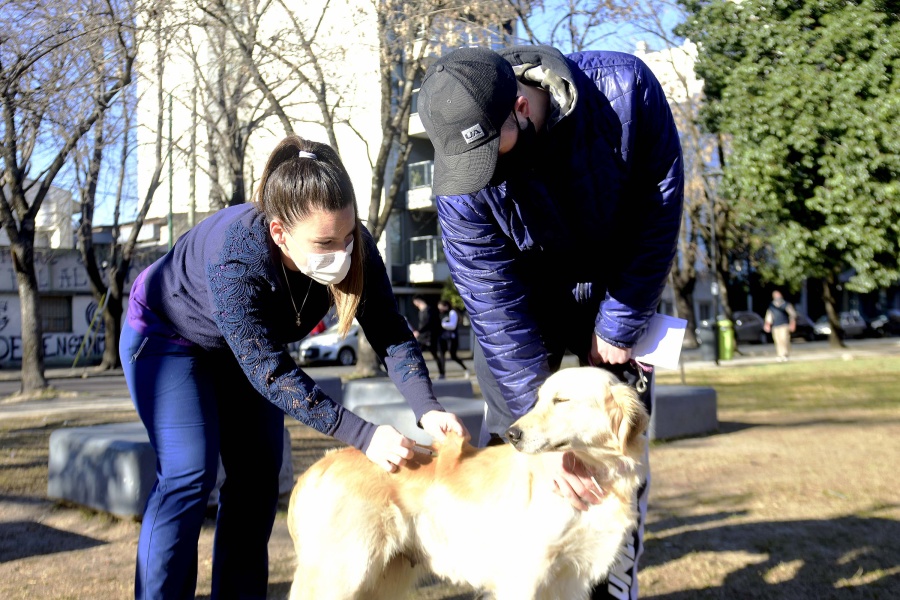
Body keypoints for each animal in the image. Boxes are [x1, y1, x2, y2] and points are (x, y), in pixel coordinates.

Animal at [288, 366, 648, 600]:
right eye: (539, 399)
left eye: (561, 401)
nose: (512, 434)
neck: (597, 470)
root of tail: (319, 465)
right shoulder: (524, 577)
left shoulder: (570, 581)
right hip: (343, 575)